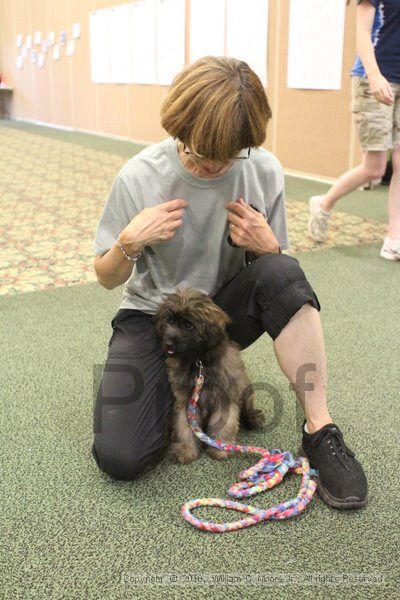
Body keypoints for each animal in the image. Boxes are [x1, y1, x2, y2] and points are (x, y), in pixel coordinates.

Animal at [154, 286, 266, 464]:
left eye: (188, 325)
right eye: (169, 321)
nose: (169, 343)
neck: (199, 362)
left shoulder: (225, 398)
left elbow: (223, 423)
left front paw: (220, 448)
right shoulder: (185, 401)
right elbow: (183, 426)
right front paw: (186, 450)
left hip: (246, 392)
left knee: (248, 410)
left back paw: (254, 418)